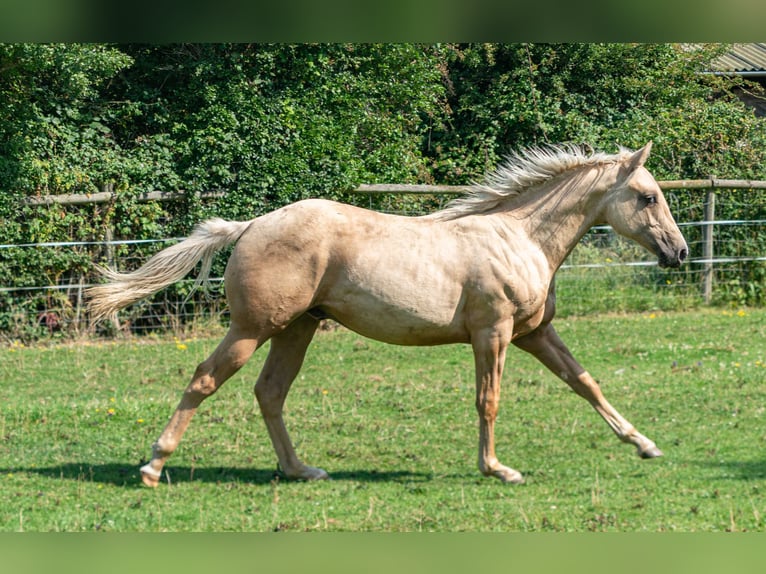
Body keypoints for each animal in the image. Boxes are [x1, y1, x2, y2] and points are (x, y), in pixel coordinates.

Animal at [88, 143, 688, 486]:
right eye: (647, 196)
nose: (679, 252)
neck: (520, 238)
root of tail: (250, 225)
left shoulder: (534, 333)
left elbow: (586, 382)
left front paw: (644, 444)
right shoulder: (492, 333)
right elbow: (489, 401)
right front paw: (498, 470)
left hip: (298, 329)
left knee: (270, 392)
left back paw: (301, 470)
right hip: (253, 328)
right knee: (205, 380)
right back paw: (153, 467)